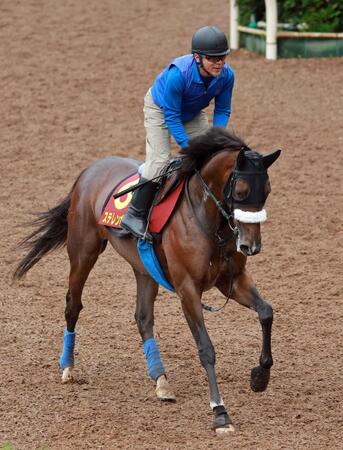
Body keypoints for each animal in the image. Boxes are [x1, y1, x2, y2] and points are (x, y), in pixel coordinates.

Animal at [14, 125, 282, 432]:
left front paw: (260, 376)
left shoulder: (232, 279)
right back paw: (67, 366)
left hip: (143, 268)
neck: (208, 221)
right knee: (73, 305)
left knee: (143, 318)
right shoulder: (188, 289)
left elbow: (266, 312)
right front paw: (219, 411)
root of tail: (90, 170)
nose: (251, 245)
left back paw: (161, 380)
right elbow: (206, 348)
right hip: (83, 250)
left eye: (268, 190)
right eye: (241, 190)